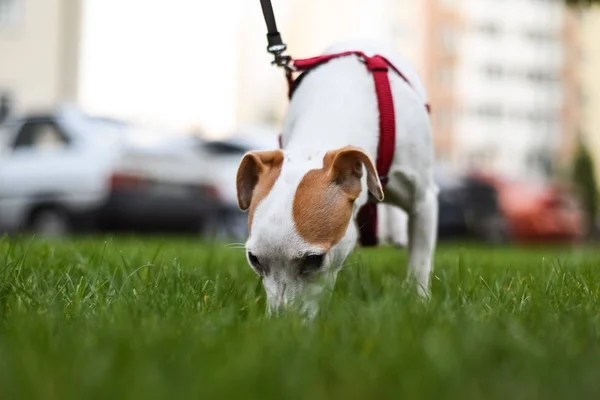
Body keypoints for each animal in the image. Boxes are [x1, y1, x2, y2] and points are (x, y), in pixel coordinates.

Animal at [234, 39, 436, 318]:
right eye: (254, 259)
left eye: (314, 260)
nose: (283, 322)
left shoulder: (424, 200)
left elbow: (420, 259)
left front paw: (418, 301)